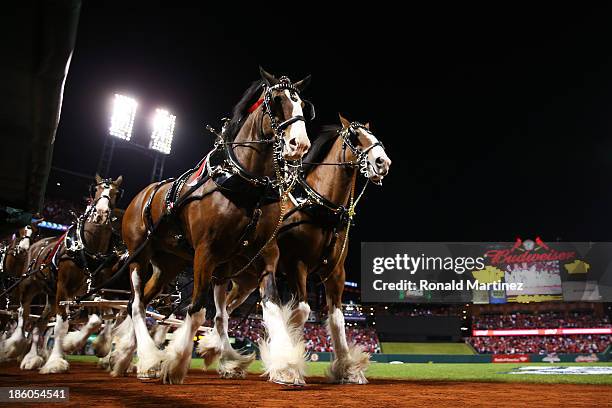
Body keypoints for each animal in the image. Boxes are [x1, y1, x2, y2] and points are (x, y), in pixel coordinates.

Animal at [113, 68, 316, 384]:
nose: (300, 144)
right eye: (276, 100)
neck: (244, 185)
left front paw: (285, 364)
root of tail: (142, 195)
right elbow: (197, 310)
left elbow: (268, 306)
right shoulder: (205, 253)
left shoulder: (264, 254)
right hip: (138, 256)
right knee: (135, 304)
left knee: (142, 302)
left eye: (302, 105)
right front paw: (176, 363)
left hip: (167, 266)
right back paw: (148, 358)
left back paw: (129, 357)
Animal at [201, 113, 392, 384]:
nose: (382, 162)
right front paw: (287, 356)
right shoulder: (295, 266)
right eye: (355, 136)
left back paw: (218, 351)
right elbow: (301, 310)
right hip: (225, 270)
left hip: (247, 281)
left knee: (226, 309)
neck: (319, 208)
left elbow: (337, 320)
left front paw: (346, 368)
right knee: (219, 311)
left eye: (375, 137)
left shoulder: (335, 273)